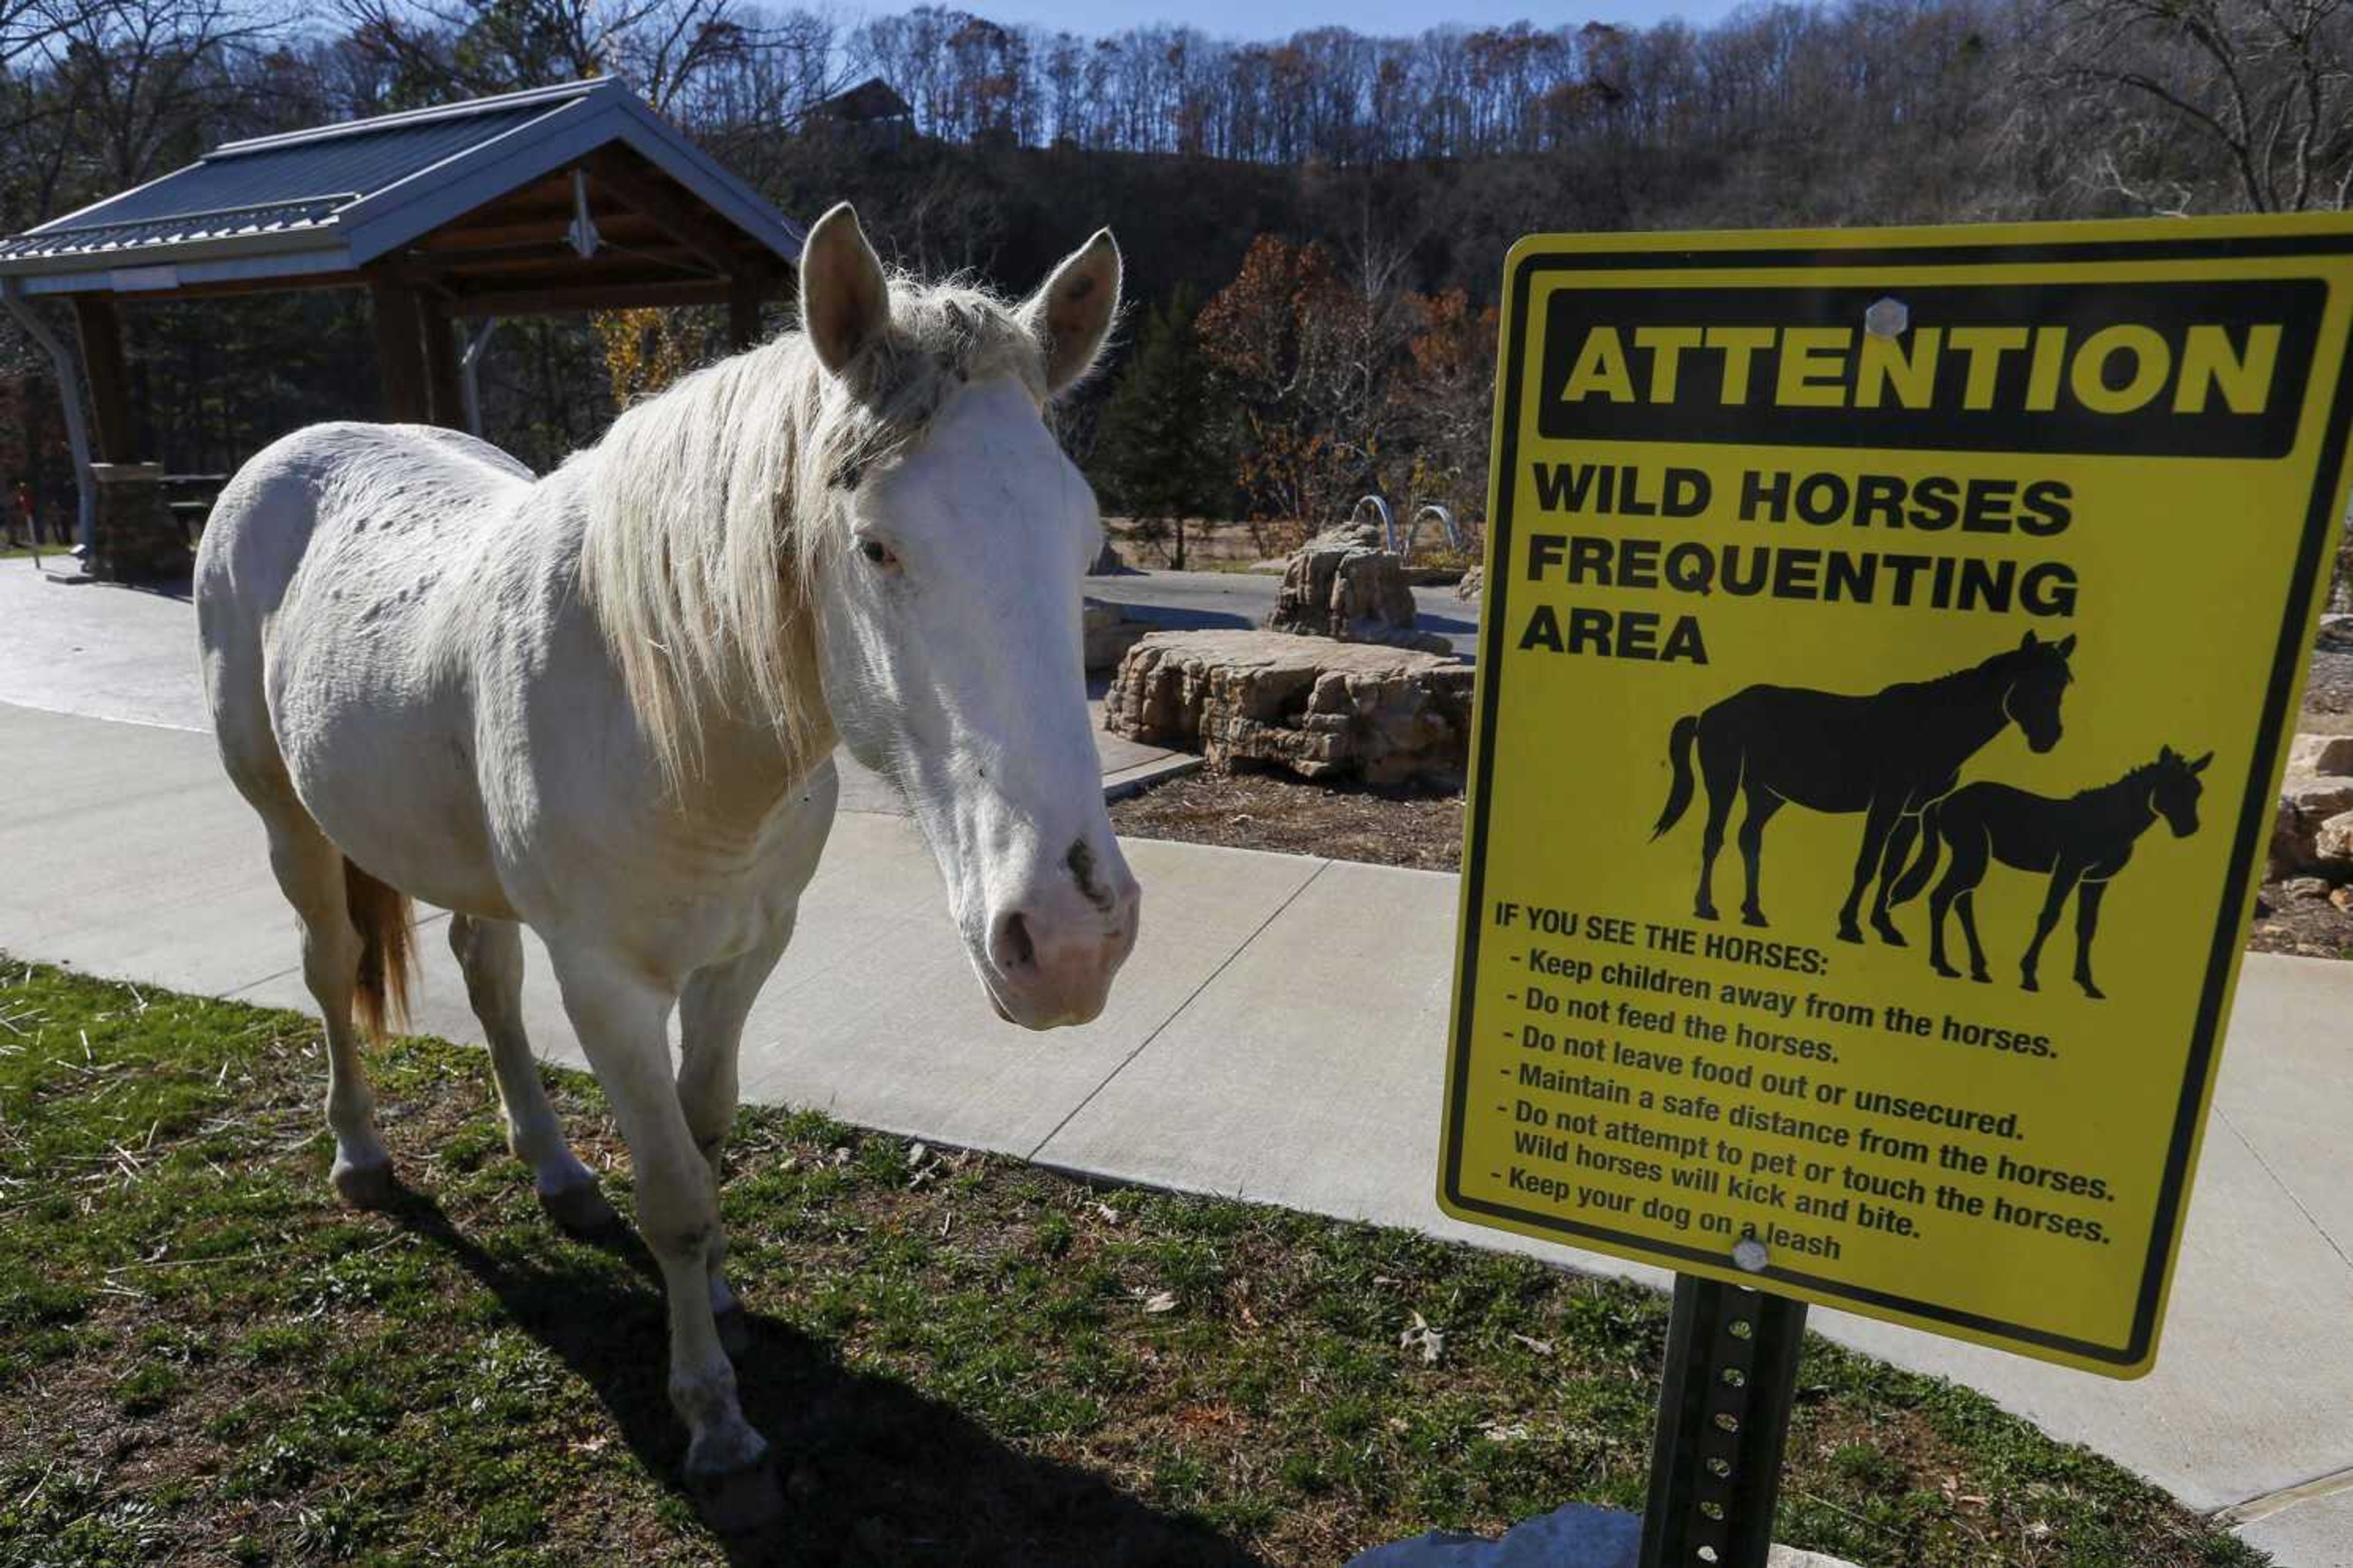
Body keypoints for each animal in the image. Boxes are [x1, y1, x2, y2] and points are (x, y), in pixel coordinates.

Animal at [191, 205, 1139, 1516]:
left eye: (1084, 540)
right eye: (876, 547)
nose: (1071, 938)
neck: (672, 712)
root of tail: (294, 450)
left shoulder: (749, 948)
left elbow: (708, 1129)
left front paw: (724, 1301)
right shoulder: (607, 983)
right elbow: (676, 1192)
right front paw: (716, 1421)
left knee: (487, 974)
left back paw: (554, 1170)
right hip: (289, 821)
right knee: (332, 971)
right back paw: (361, 1155)